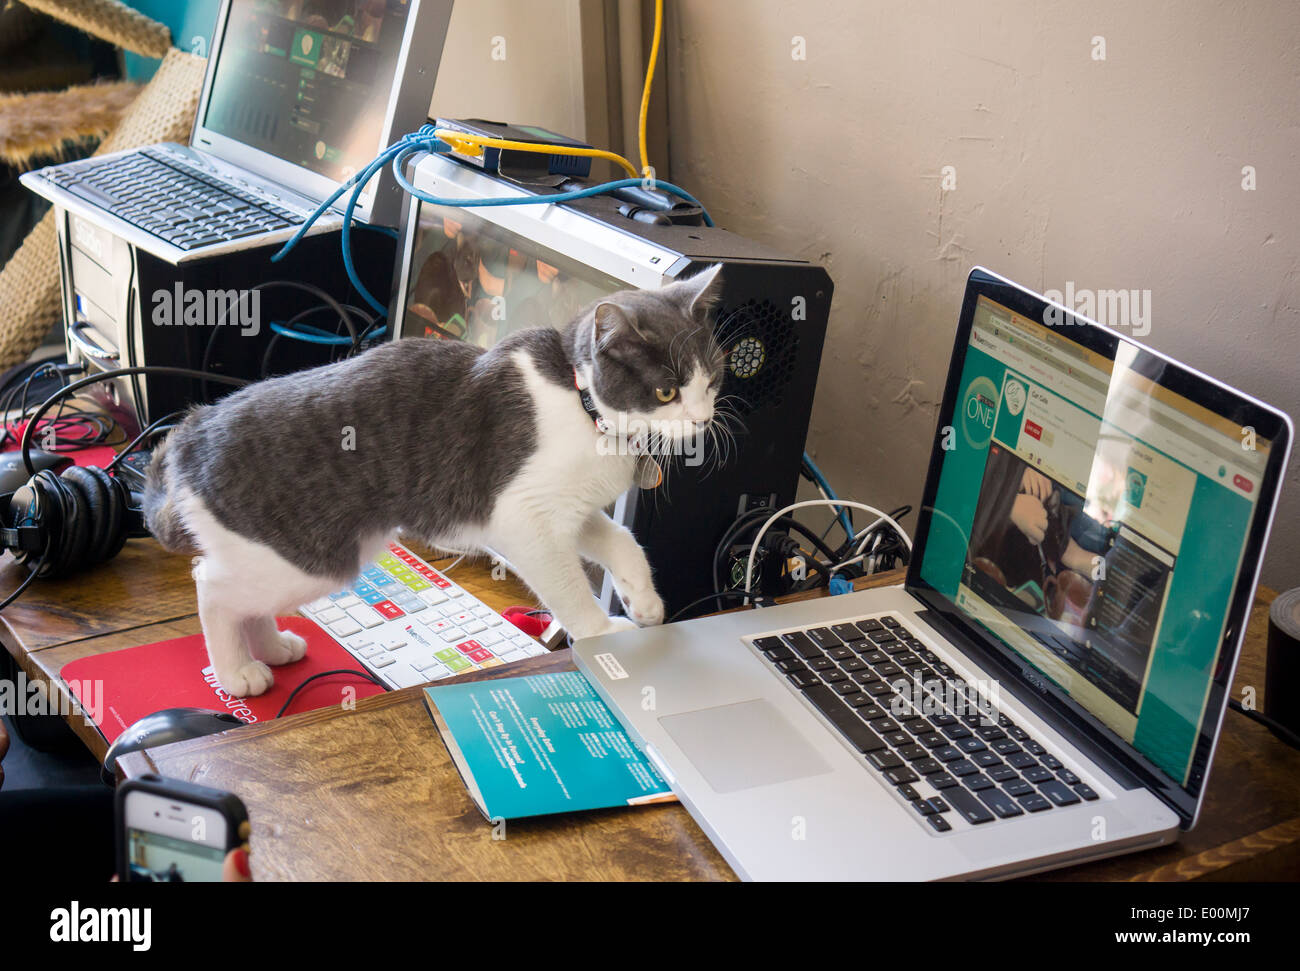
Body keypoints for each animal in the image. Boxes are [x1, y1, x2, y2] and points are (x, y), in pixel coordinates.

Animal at [149, 262, 733, 696]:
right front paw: (602, 633)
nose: (704, 419)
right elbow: (567, 586)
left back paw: (272, 646)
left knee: (240, 596)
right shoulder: (524, 518)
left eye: (712, 378)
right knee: (212, 586)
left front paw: (643, 600)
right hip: (306, 556)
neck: (580, 402)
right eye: (665, 392)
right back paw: (237, 672)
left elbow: (622, 539)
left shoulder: (570, 510)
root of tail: (191, 432)